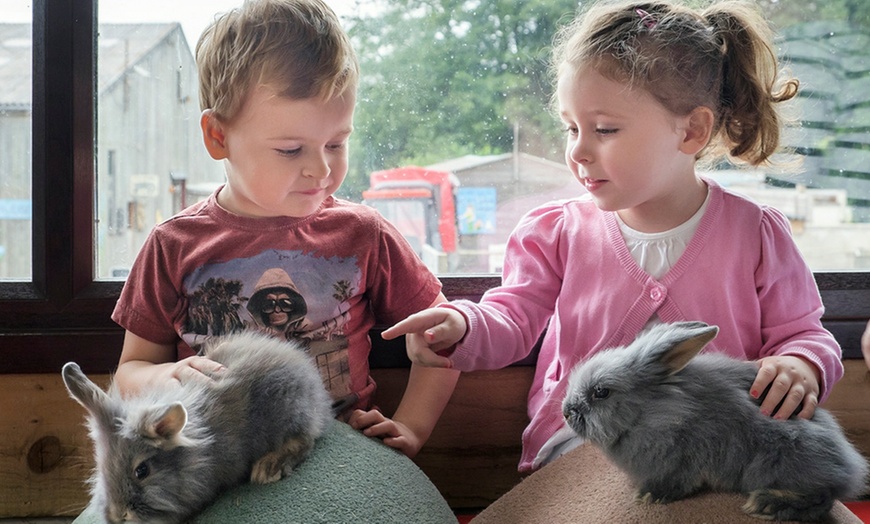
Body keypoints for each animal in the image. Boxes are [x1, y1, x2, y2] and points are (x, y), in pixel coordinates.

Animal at [62, 332, 334, 524]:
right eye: (102, 468)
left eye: (142, 470)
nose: (119, 514)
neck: (198, 453)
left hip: (290, 411)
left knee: (304, 440)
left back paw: (267, 468)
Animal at [564, 322, 868, 520]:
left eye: (601, 392)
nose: (567, 411)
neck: (654, 410)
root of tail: (848, 463)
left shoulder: (683, 458)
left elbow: (678, 481)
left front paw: (651, 495)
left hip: (783, 459)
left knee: (824, 497)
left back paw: (766, 505)